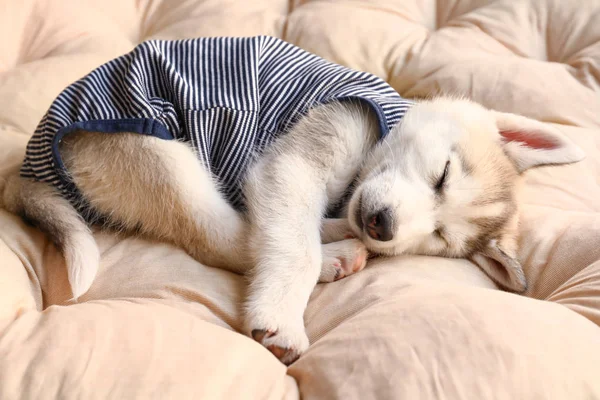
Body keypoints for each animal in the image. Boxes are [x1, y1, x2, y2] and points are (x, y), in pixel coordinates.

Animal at [1, 36, 580, 364]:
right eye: (442, 175)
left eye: (437, 239)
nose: (383, 227)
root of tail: (29, 164)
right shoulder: (304, 156)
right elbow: (292, 248)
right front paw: (281, 315)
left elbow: (290, 229)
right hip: (154, 150)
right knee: (223, 237)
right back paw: (334, 253)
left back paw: (337, 241)